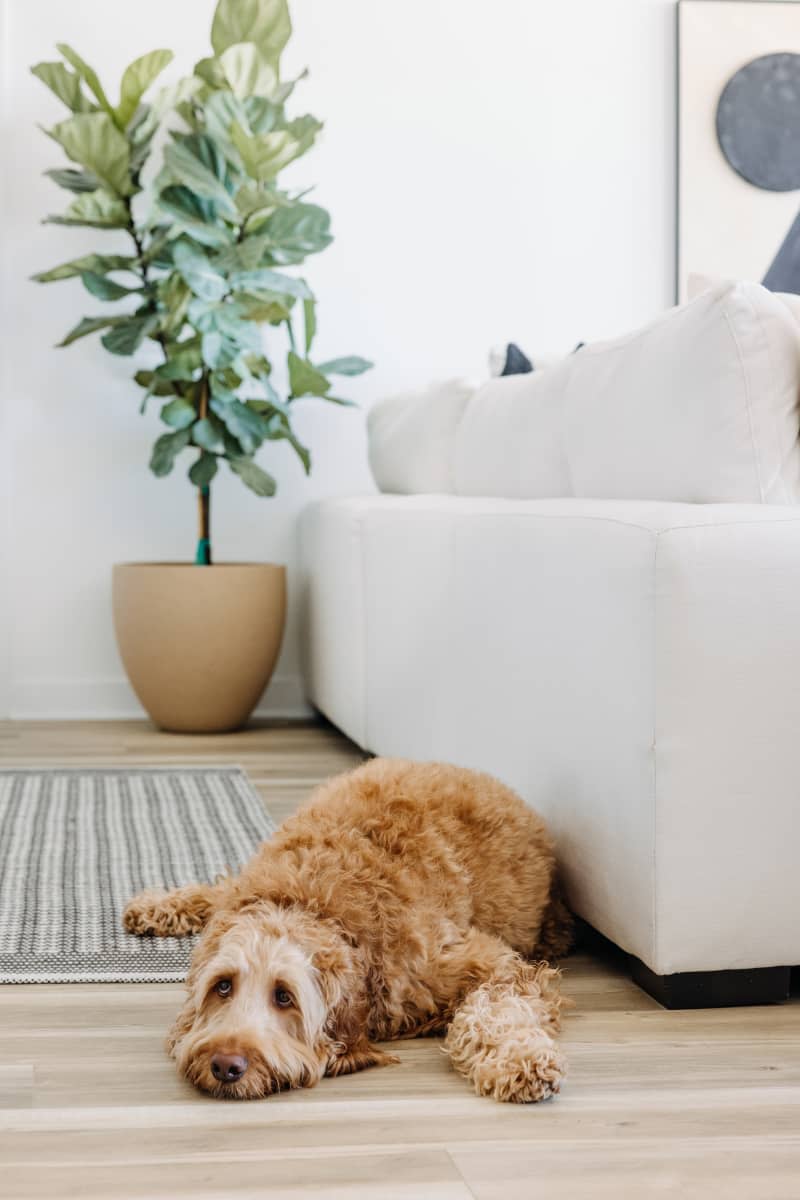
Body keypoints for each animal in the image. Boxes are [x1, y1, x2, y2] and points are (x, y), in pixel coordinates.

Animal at [123, 758, 575, 1104]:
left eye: (284, 996)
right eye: (222, 986)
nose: (224, 1065)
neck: (312, 903)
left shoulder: (488, 963)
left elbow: (493, 1010)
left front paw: (519, 1062)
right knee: (222, 887)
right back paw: (156, 906)